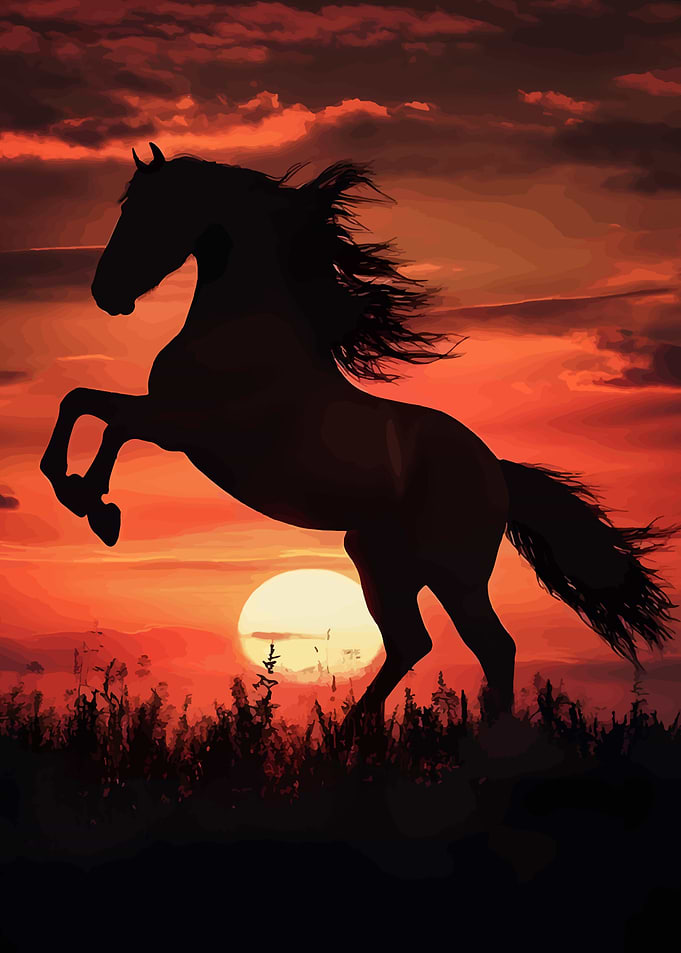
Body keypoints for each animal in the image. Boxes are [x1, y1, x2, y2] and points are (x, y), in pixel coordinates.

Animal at [40, 142, 677, 736]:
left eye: (149, 210)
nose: (106, 294)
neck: (244, 330)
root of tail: (495, 469)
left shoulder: (183, 426)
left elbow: (113, 424)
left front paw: (96, 508)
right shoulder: (168, 419)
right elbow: (80, 401)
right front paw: (71, 487)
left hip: (454, 572)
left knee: (490, 645)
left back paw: (485, 742)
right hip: (379, 558)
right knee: (412, 642)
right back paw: (346, 734)